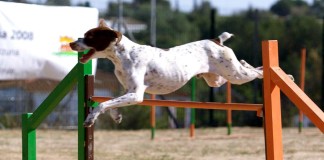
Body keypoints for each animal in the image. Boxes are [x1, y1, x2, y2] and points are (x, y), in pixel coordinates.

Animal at [70, 20, 264, 127]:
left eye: (89, 37)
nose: (71, 43)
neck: (122, 56)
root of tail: (216, 40)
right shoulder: (128, 91)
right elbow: (110, 103)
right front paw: (116, 116)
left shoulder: (136, 94)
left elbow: (102, 104)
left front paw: (90, 119)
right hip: (216, 79)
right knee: (240, 68)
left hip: (236, 75)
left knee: (251, 71)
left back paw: (263, 70)